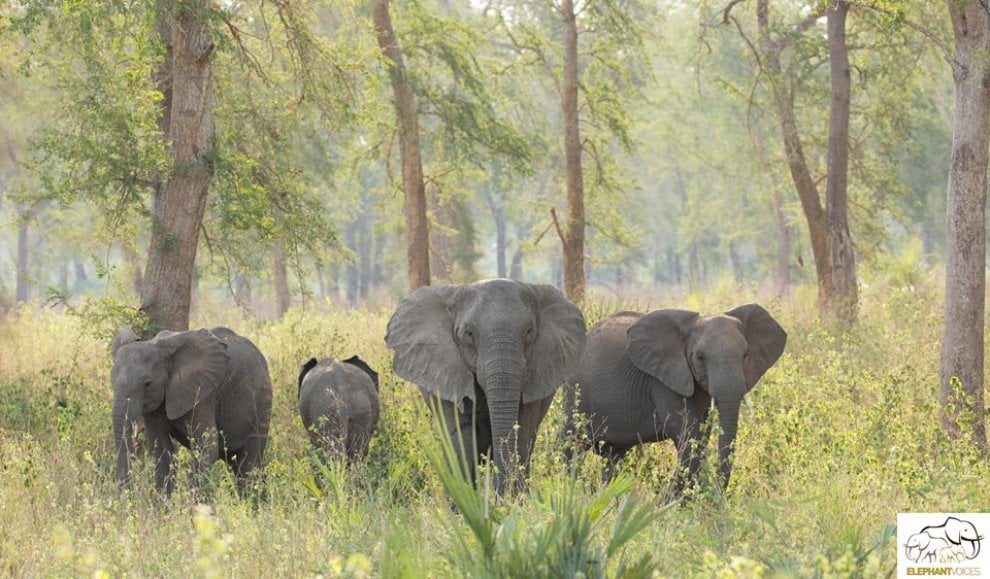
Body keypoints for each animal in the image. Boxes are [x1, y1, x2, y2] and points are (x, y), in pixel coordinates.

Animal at [110, 326, 273, 492]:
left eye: (147, 384)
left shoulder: (202, 394)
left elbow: (207, 448)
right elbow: (162, 452)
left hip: (261, 406)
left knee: (248, 464)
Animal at [386, 279, 586, 495]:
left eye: (530, 331)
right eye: (468, 334)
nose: (498, 496)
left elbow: (523, 434)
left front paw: (514, 500)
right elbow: (462, 437)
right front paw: (466, 501)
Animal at [563, 303, 786, 492]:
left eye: (746, 355)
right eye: (700, 357)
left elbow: (701, 435)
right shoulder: (663, 380)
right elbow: (688, 434)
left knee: (613, 456)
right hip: (575, 393)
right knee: (570, 444)